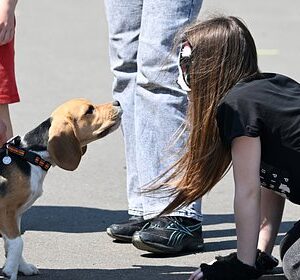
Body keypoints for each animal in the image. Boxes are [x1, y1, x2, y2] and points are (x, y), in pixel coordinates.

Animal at [0, 98, 122, 278]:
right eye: (89, 110)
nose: (117, 102)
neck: (32, 155)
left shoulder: (15, 215)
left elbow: (12, 244)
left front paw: (22, 267)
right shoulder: (6, 210)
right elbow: (17, 243)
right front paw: (9, 272)